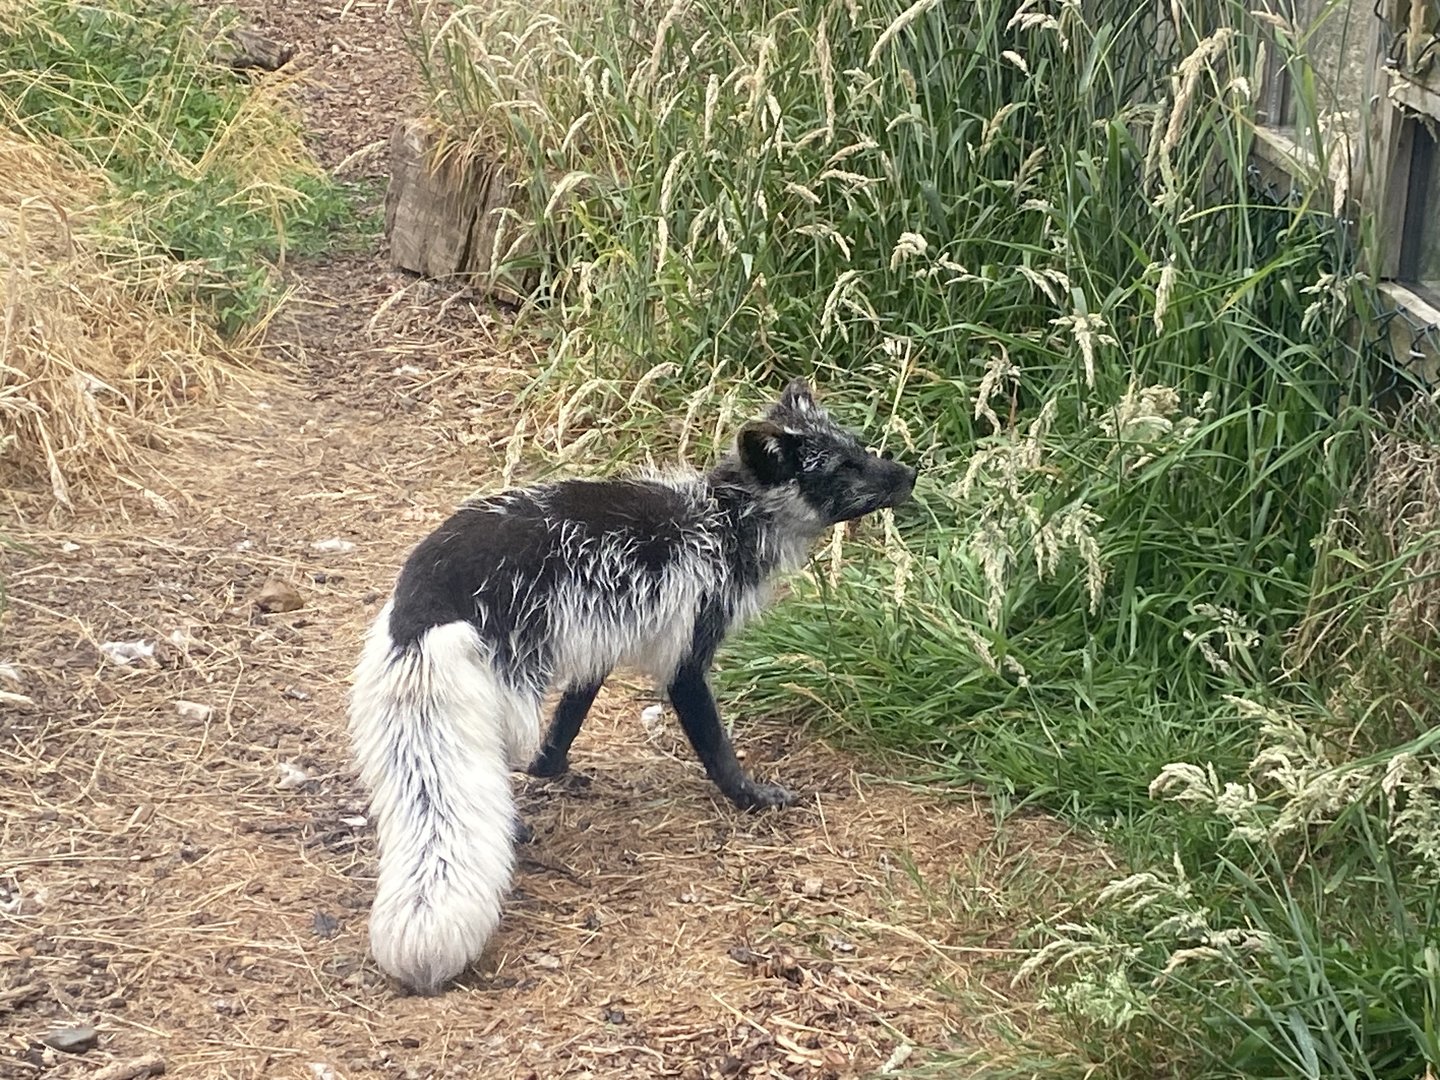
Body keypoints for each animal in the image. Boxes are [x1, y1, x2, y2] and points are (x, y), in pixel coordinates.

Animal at [348, 378, 917, 994]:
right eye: (841, 467)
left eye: (859, 447)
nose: (909, 473)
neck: (722, 521)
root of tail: (426, 599)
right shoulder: (688, 653)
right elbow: (716, 747)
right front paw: (753, 798)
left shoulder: (598, 648)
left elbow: (567, 725)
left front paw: (554, 770)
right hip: (516, 682)